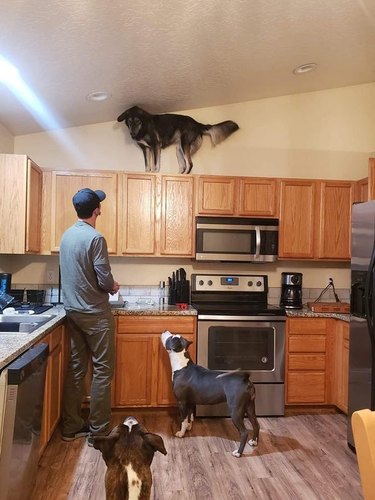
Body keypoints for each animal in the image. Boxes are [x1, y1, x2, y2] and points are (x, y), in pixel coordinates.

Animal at [162, 330, 262, 458]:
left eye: (170, 338)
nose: (165, 330)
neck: (182, 364)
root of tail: (244, 379)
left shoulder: (182, 402)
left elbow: (183, 419)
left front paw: (181, 433)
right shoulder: (190, 402)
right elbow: (189, 416)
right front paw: (189, 427)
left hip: (236, 410)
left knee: (244, 432)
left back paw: (238, 453)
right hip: (249, 407)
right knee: (256, 424)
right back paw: (254, 442)